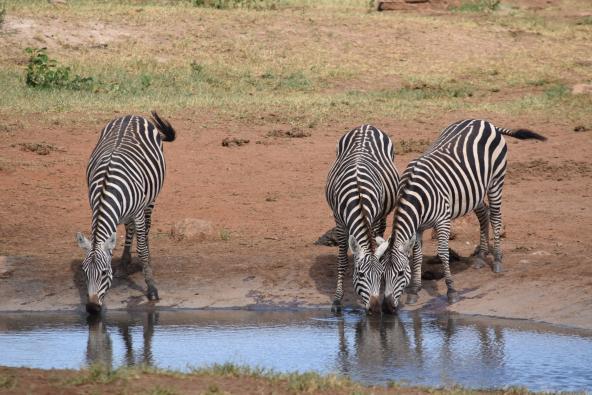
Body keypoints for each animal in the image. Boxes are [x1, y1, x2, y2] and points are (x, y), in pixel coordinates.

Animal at [75, 112, 176, 316]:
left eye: (104, 273)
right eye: (84, 272)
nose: (92, 308)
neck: (106, 189)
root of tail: (132, 115)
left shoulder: (137, 212)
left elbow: (143, 250)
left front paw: (152, 289)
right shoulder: (98, 208)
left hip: (150, 198)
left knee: (145, 227)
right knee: (129, 229)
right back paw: (124, 262)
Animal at [326, 125, 400, 314]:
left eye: (381, 276)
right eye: (360, 275)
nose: (375, 309)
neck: (357, 194)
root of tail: (366, 126)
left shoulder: (372, 218)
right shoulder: (339, 221)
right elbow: (342, 261)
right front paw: (337, 300)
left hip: (383, 208)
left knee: (382, 227)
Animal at [384, 119, 544, 314]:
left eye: (400, 273)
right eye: (381, 275)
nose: (387, 308)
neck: (416, 195)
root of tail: (485, 122)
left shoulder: (443, 221)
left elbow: (443, 253)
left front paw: (451, 291)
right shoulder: (418, 226)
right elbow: (417, 255)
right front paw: (414, 291)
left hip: (496, 181)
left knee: (496, 217)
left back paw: (497, 260)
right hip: (474, 192)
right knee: (484, 214)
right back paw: (481, 257)